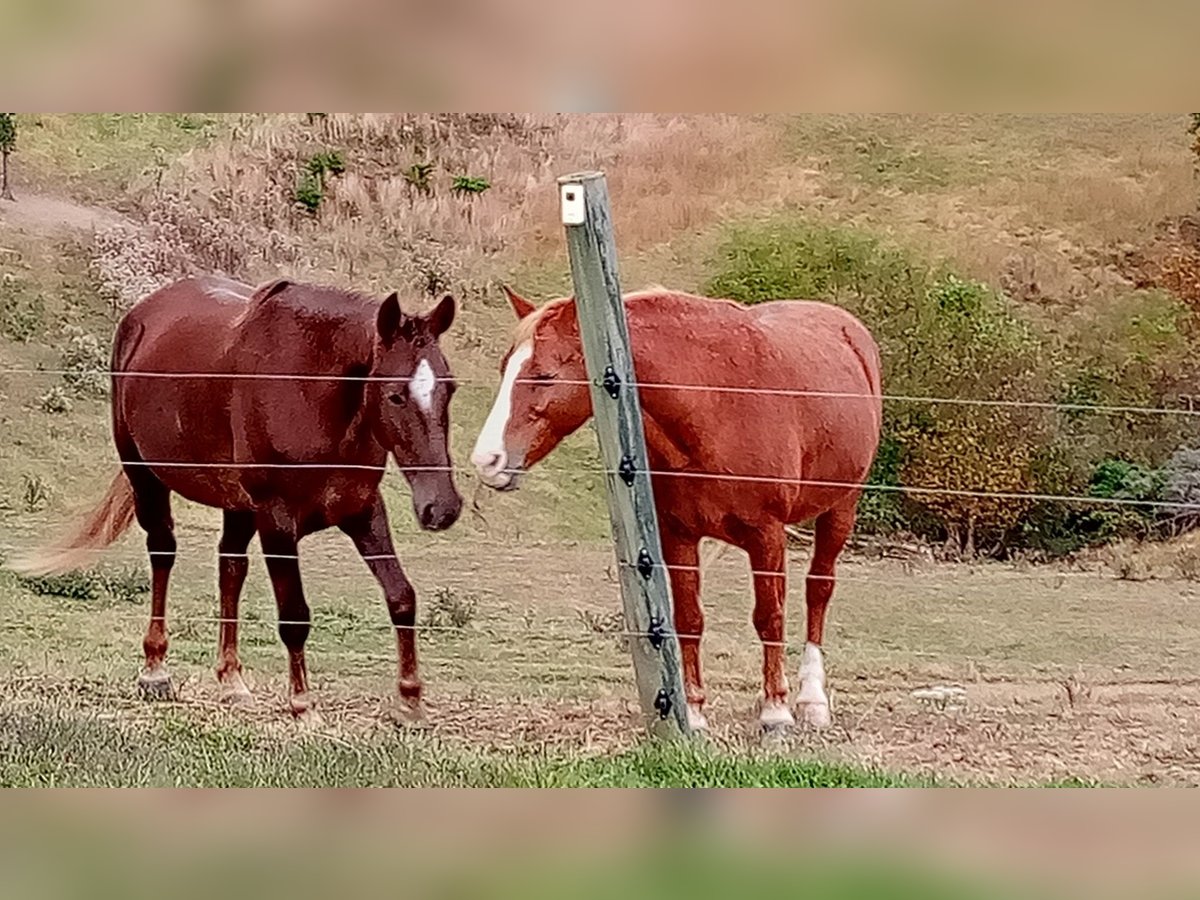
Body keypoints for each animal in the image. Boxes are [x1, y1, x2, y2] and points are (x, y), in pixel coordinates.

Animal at [16, 274, 460, 724]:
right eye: (395, 395)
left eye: (450, 388)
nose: (442, 507)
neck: (312, 392)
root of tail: (140, 315)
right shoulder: (277, 519)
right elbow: (294, 614)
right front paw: (302, 703)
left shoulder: (363, 510)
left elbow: (401, 597)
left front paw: (410, 700)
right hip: (146, 479)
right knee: (163, 554)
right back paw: (155, 670)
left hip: (238, 507)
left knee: (230, 567)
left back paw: (231, 680)